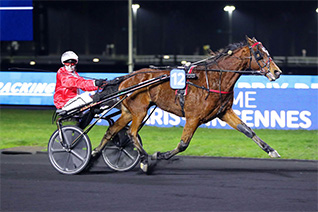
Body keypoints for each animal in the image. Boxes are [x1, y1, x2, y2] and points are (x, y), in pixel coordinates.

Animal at [92, 35, 284, 173]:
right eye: (260, 54)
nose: (277, 72)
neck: (215, 79)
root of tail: (127, 77)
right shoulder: (194, 117)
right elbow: (183, 144)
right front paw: (158, 155)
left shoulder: (224, 112)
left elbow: (248, 130)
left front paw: (271, 150)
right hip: (140, 111)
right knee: (131, 133)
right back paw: (145, 159)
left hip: (128, 112)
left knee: (112, 130)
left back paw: (95, 153)